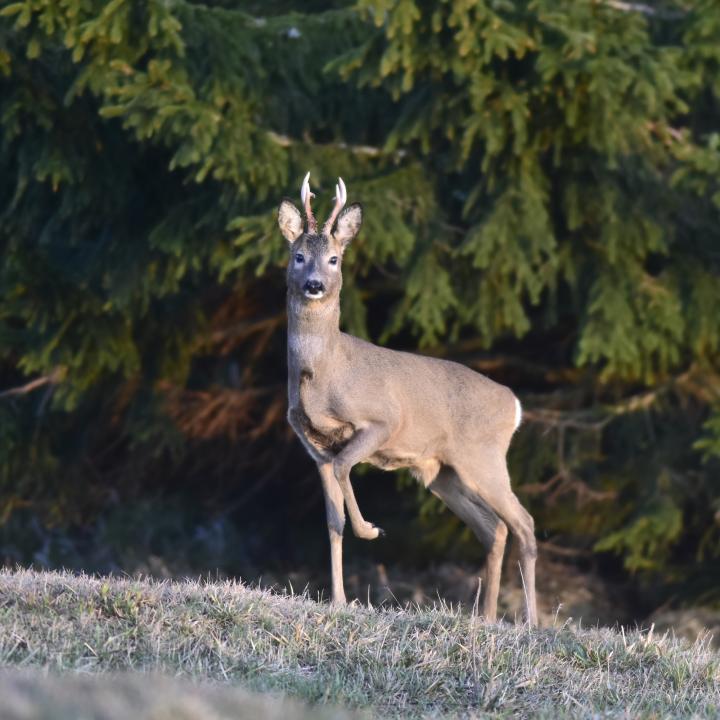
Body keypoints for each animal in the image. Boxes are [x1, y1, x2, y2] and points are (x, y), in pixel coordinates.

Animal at [278, 173, 536, 624]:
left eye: (334, 259)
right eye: (298, 256)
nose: (314, 285)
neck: (323, 375)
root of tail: (514, 406)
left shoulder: (381, 422)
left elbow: (347, 469)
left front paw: (372, 530)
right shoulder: (316, 449)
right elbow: (332, 522)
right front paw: (338, 600)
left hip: (483, 457)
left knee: (524, 523)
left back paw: (532, 622)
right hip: (443, 473)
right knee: (496, 528)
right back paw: (486, 617)